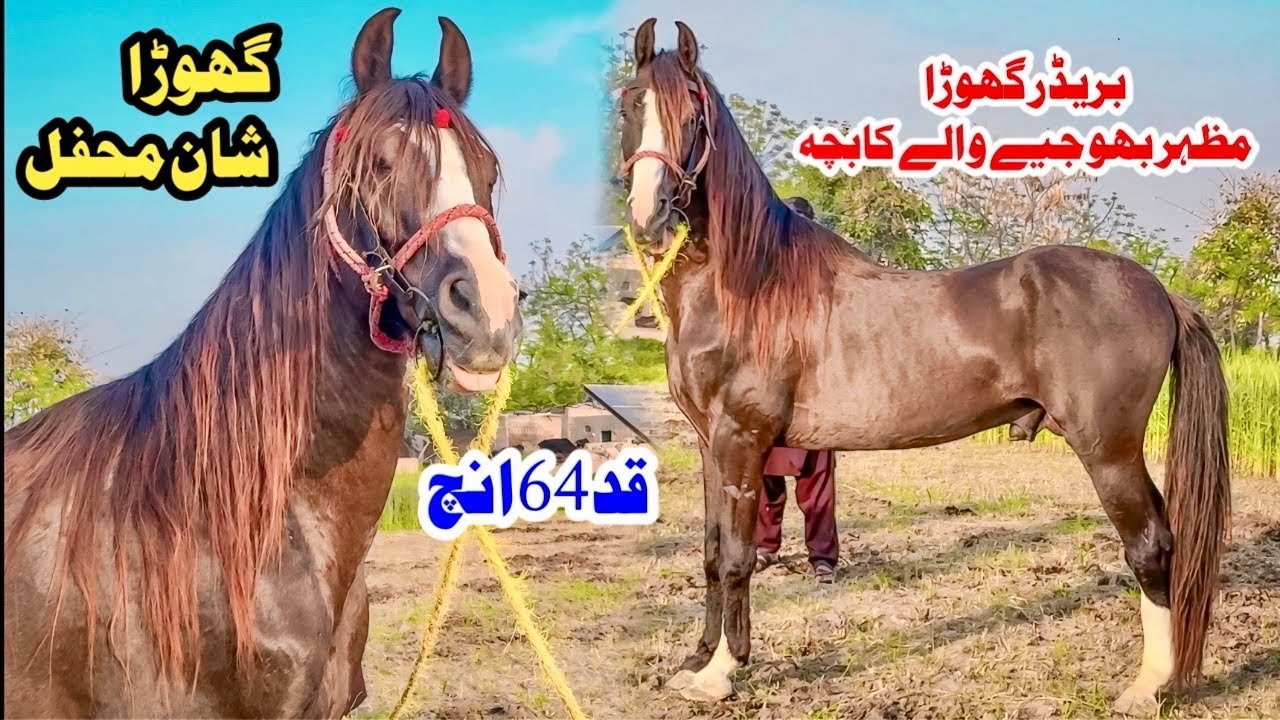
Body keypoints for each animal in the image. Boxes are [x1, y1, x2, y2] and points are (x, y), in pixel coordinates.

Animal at [615, 19, 1230, 715]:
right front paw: (696, 662)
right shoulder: (710, 445)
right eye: (629, 104)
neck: (751, 284)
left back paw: (1147, 687)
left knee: (1150, 546)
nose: (650, 214)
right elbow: (713, 555)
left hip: (1110, 451)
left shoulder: (742, 441)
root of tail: (1158, 290)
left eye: (694, 115)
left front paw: (722, 672)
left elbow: (740, 557)